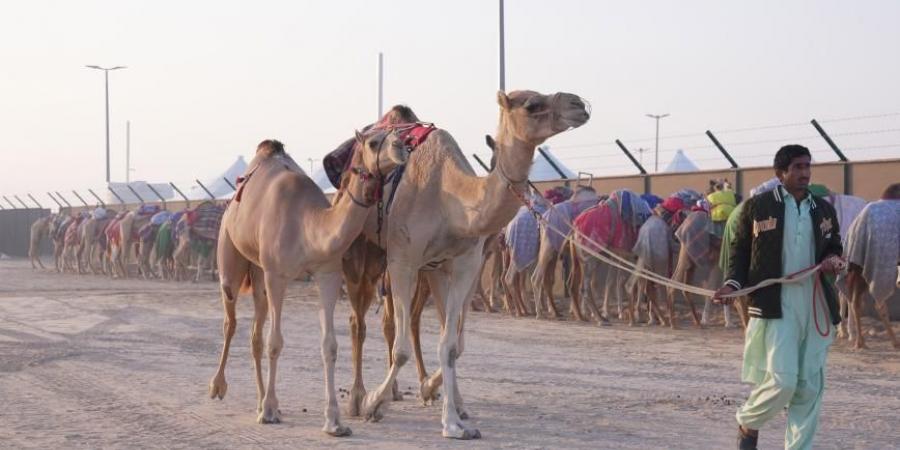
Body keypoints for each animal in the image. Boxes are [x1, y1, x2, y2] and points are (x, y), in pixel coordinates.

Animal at [207, 137, 404, 436]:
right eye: (373, 142)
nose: (402, 145)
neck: (307, 225)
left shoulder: (328, 274)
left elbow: (329, 345)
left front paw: (334, 422)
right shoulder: (277, 275)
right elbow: (275, 342)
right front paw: (268, 412)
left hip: (259, 272)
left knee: (255, 333)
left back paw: (261, 400)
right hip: (231, 256)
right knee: (230, 320)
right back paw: (219, 387)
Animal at [352, 89, 592, 438]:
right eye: (532, 104)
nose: (579, 104)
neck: (448, 196)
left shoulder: (464, 264)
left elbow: (452, 344)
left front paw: (452, 419)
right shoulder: (402, 259)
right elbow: (402, 348)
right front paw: (373, 403)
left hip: (433, 271)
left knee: (416, 325)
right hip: (372, 252)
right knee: (365, 322)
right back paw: (360, 398)